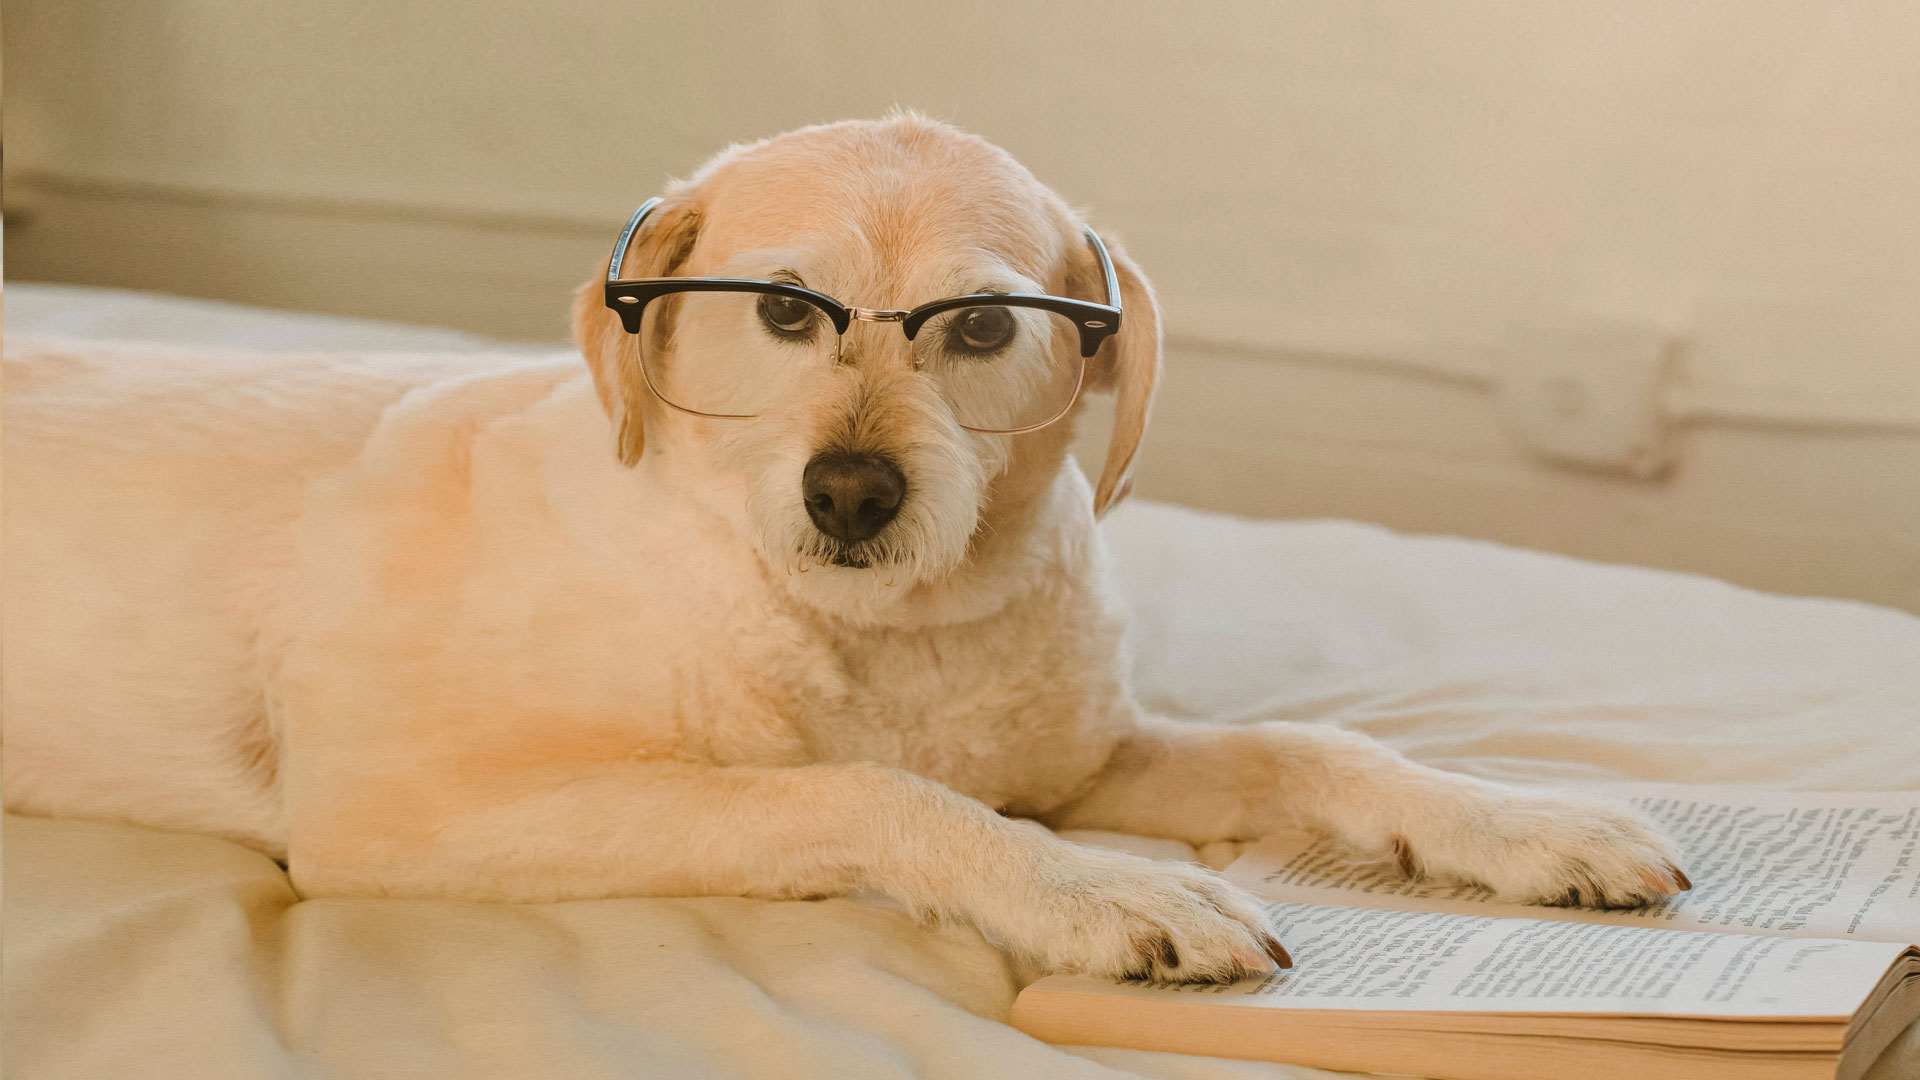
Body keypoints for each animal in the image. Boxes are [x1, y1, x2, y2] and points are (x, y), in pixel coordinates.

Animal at [0, 113, 1681, 980]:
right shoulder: (408, 816)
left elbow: (1313, 746)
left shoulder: (1080, 760)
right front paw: (1099, 893)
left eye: (985, 326)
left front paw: (1524, 821)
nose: (854, 494)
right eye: (782, 309)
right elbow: (859, 790)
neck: (888, 637)